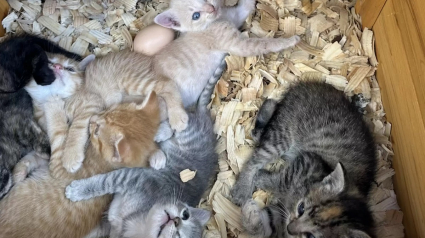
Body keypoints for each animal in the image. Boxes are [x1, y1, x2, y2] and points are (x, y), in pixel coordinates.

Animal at [0, 91, 161, 238]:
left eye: (97, 131)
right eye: (107, 111)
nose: (93, 118)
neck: (100, 157)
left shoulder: (57, 168)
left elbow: (59, 136)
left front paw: (54, 106)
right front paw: (19, 172)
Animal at [50, 0, 298, 175]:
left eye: (203, 0)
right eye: (195, 15)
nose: (210, 8)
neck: (215, 20)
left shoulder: (232, 18)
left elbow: (244, 7)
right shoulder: (236, 42)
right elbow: (261, 44)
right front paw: (289, 40)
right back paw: (171, 126)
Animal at [63, 64, 222, 237]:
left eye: (178, 235)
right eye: (185, 214)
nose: (176, 220)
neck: (141, 221)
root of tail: (206, 118)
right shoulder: (134, 177)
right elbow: (102, 181)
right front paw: (78, 190)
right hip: (186, 129)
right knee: (178, 120)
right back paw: (162, 132)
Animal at [230, 81, 376, 237]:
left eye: (311, 236)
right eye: (302, 208)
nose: (290, 228)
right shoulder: (308, 160)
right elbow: (283, 181)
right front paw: (261, 178)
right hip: (283, 133)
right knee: (256, 156)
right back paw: (243, 187)